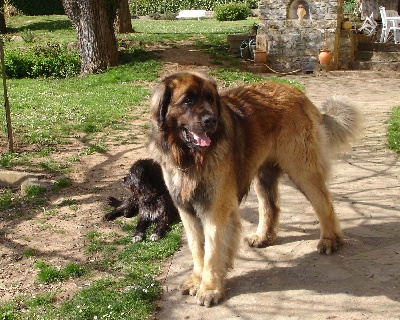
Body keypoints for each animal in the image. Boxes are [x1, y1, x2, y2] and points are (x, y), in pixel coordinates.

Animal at [147, 71, 360, 306]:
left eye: (210, 99)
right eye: (188, 101)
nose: (211, 120)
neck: (189, 158)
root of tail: (298, 93)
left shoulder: (215, 210)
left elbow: (212, 252)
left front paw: (210, 289)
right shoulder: (187, 210)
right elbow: (197, 248)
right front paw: (196, 280)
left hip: (302, 170)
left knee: (324, 204)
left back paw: (330, 240)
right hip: (263, 174)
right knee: (270, 206)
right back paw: (263, 237)